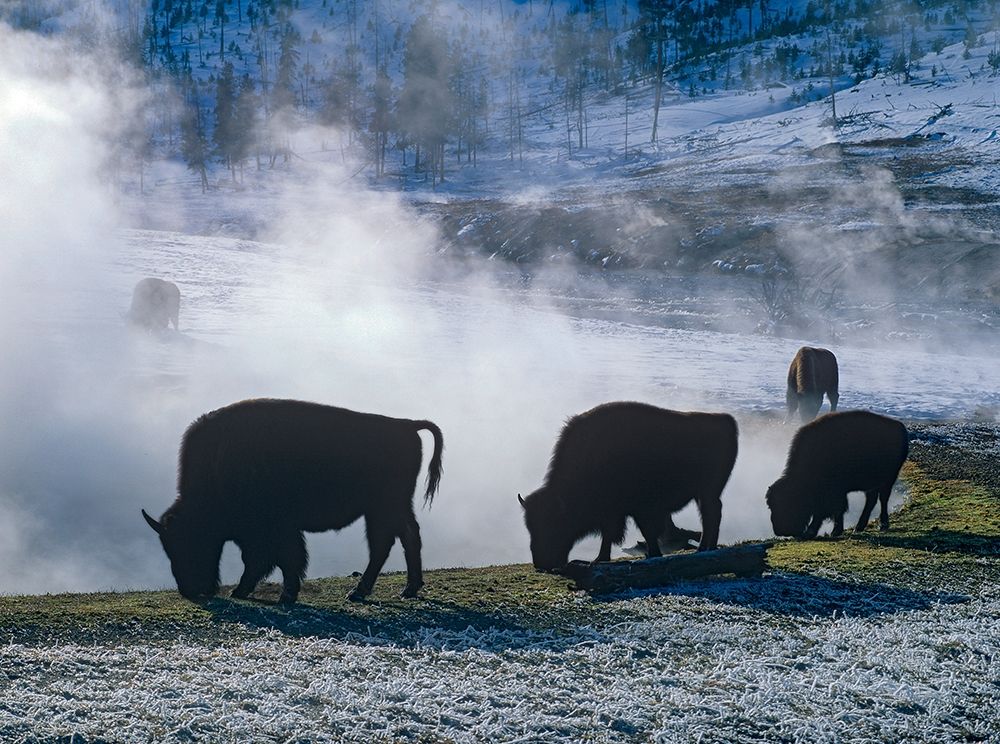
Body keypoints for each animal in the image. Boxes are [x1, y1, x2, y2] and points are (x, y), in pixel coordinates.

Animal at [142, 399, 444, 604]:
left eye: (191, 541)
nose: (190, 590)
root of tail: (406, 425)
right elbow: (275, 558)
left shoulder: (272, 529)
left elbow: (278, 558)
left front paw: (276, 594)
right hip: (391, 508)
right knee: (406, 537)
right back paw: (407, 589)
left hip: (384, 508)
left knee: (385, 544)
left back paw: (359, 592)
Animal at [519, 402, 738, 571]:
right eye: (530, 527)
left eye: (554, 523)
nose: (542, 563)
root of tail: (727, 420)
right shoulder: (616, 513)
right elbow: (611, 535)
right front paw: (600, 559)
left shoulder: (637, 510)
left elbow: (645, 532)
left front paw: (652, 555)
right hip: (703, 494)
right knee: (710, 515)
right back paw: (704, 548)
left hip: (707, 493)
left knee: (712, 515)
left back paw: (706, 548)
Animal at [766, 410, 908, 539]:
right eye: (772, 506)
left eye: (790, 503)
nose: (781, 531)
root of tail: (899, 426)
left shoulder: (834, 493)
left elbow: (831, 510)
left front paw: (826, 532)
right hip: (873, 483)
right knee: (871, 500)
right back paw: (859, 527)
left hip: (889, 479)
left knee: (883, 499)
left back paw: (883, 525)